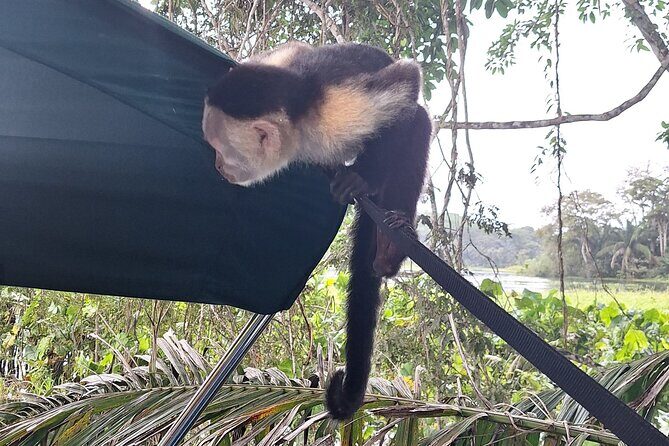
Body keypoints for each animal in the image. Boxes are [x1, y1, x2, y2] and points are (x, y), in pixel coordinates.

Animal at [202, 42, 432, 420]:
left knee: (416, 122)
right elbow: (294, 49)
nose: (218, 166)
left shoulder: (337, 114)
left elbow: (407, 82)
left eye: (222, 151)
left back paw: (389, 246)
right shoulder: (285, 62)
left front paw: (363, 177)